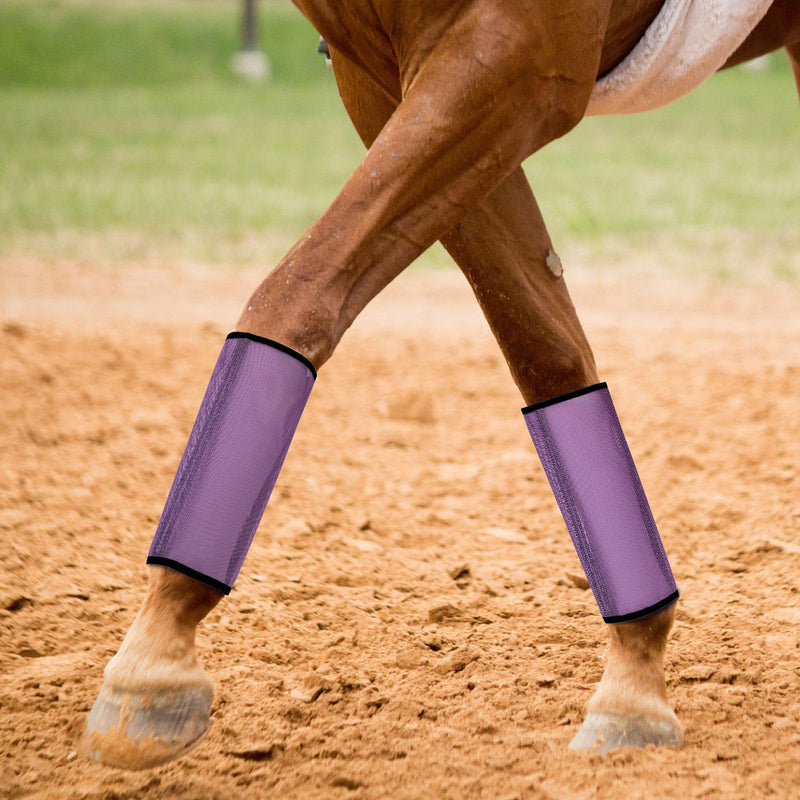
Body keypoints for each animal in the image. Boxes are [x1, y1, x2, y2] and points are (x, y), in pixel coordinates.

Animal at [81, 0, 800, 770]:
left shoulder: (514, 60)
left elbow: (298, 292)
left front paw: (154, 662)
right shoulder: (384, 80)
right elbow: (545, 351)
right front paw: (634, 682)